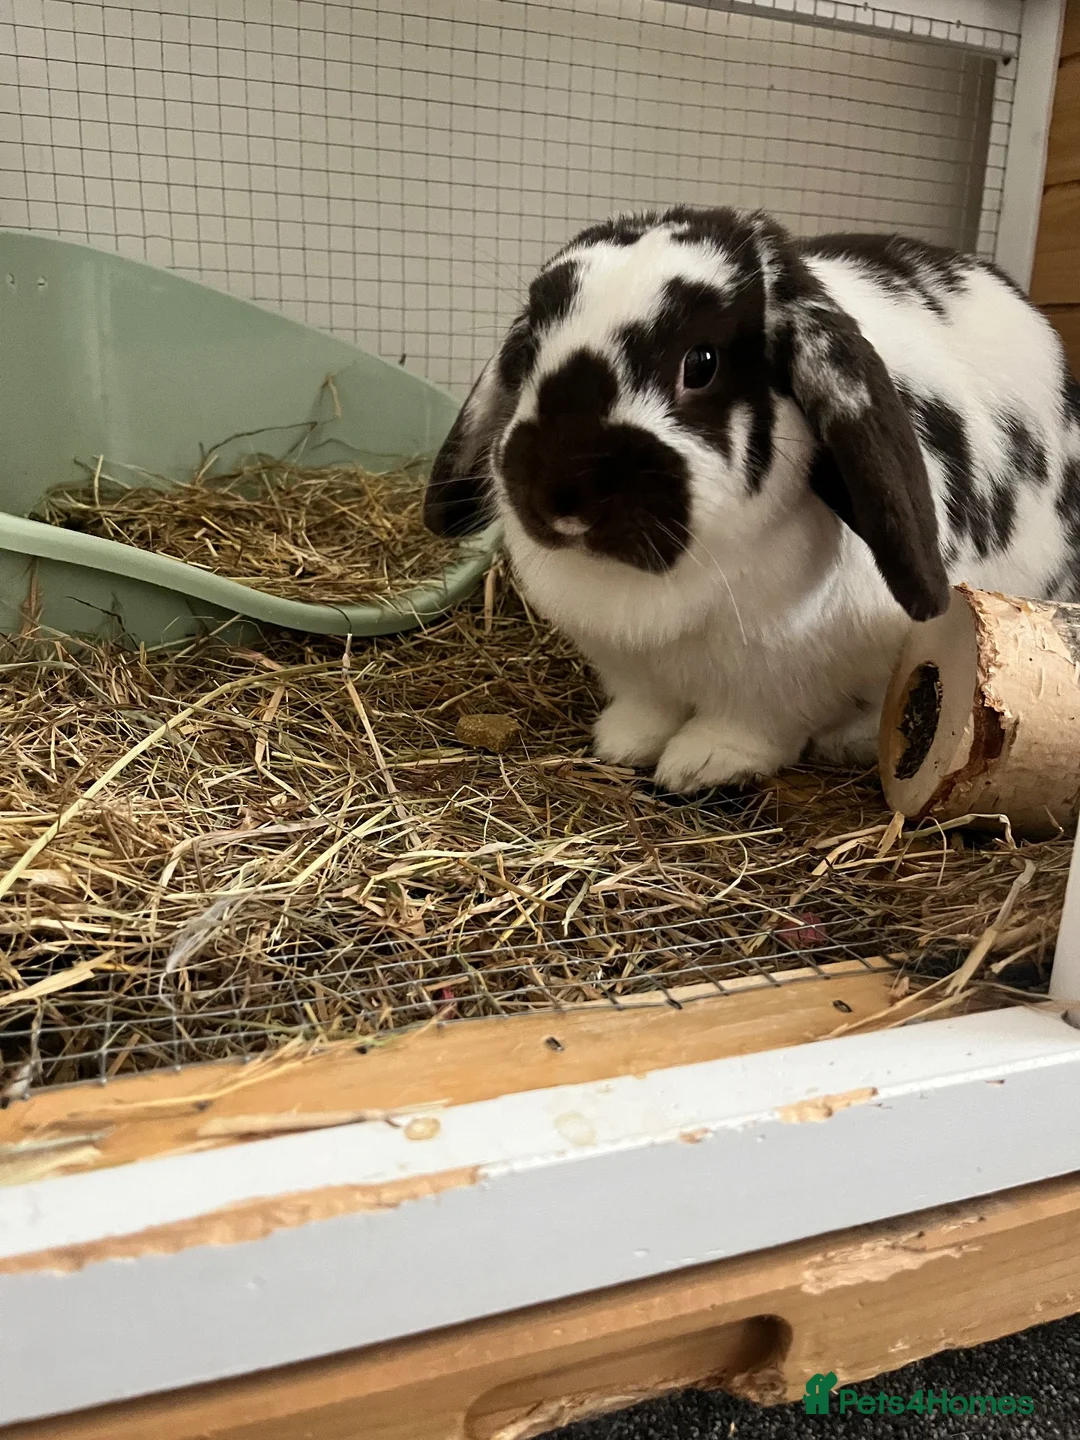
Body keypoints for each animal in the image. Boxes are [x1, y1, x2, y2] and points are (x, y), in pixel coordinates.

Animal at [424, 206, 1080, 793]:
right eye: (526, 355)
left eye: (701, 363)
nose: (559, 496)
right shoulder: (631, 666)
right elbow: (646, 707)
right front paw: (624, 743)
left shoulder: (785, 676)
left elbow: (752, 722)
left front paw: (703, 763)